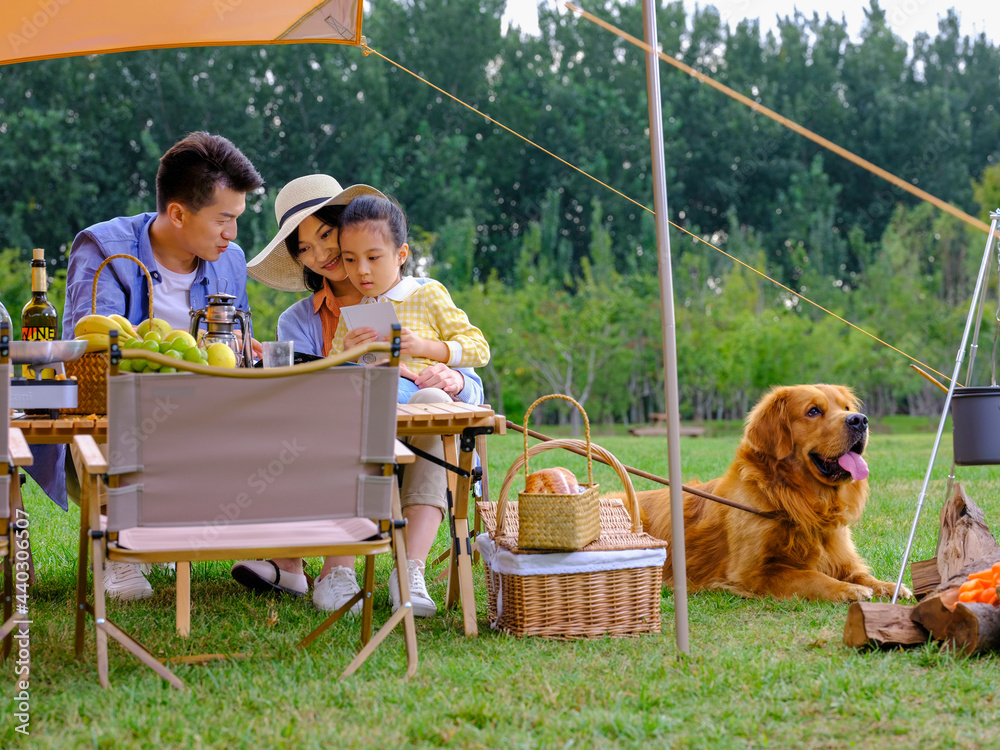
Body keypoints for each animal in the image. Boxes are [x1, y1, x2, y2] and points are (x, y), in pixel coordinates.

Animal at [636, 384, 912, 604]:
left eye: (845, 407)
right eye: (813, 411)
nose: (860, 420)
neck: (797, 500)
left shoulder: (841, 558)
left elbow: (862, 574)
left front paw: (889, 586)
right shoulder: (754, 573)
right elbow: (812, 576)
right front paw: (848, 589)